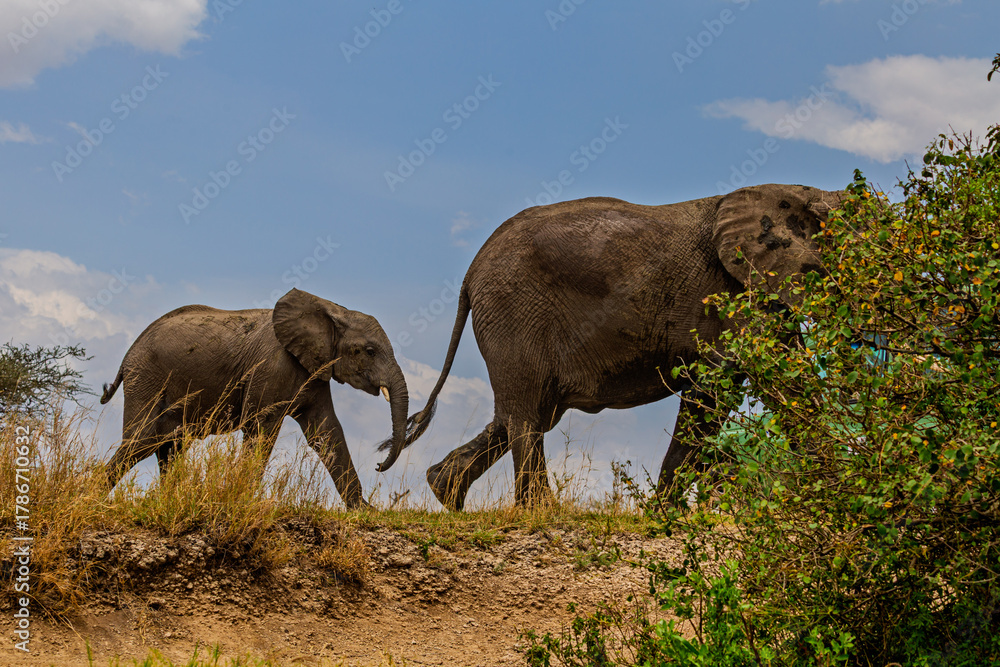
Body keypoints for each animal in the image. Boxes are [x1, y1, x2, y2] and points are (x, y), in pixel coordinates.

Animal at [100, 288, 410, 509]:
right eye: (369, 351)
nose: (379, 465)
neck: (332, 308)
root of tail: (128, 354)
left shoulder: (314, 370)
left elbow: (327, 433)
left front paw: (365, 511)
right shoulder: (273, 366)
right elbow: (261, 428)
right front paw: (245, 500)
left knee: (170, 445)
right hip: (146, 376)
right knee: (143, 440)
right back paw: (93, 493)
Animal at [379, 183, 843, 510]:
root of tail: (470, 273)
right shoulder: (734, 290)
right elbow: (723, 389)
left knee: (523, 414)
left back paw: (446, 493)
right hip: (514, 310)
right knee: (526, 417)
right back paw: (542, 512)